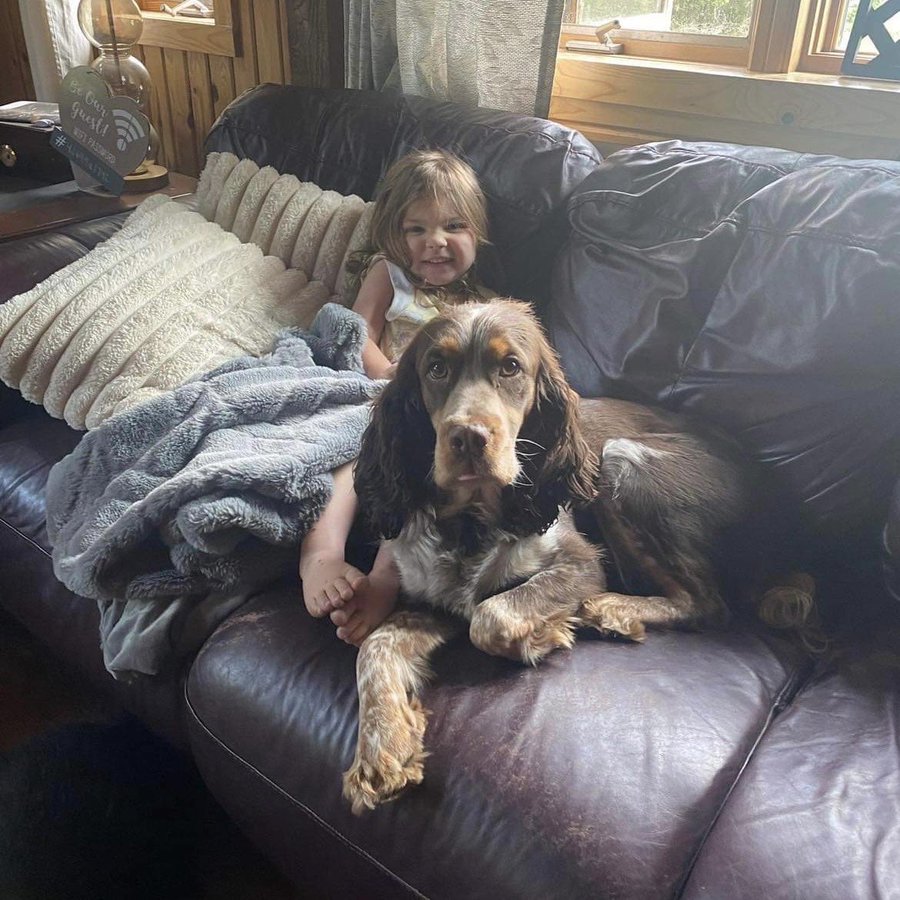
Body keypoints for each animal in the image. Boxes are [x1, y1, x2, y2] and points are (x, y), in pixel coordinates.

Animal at [342, 298, 812, 812]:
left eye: (511, 367)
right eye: (436, 368)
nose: (468, 438)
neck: (471, 520)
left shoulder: (581, 563)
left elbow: (491, 616)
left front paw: (542, 636)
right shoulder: (433, 599)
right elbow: (375, 646)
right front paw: (383, 750)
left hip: (622, 459)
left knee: (707, 603)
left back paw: (614, 610)